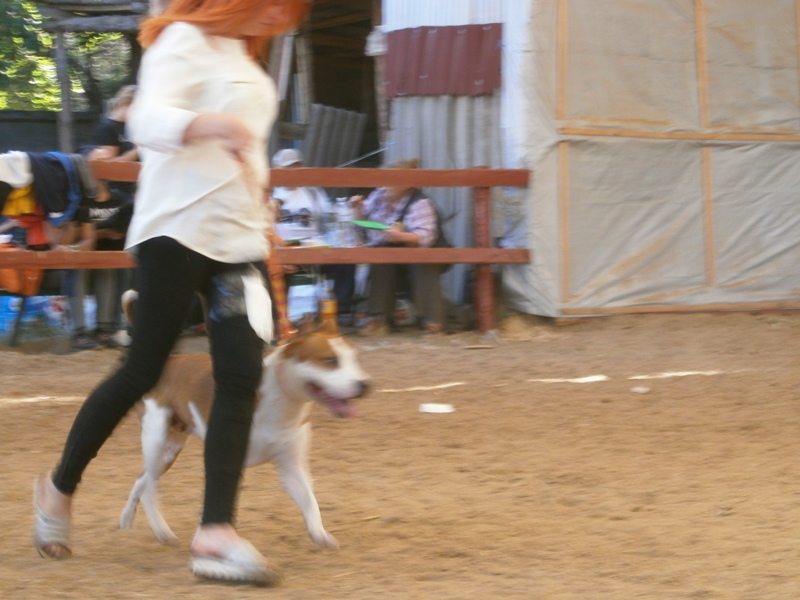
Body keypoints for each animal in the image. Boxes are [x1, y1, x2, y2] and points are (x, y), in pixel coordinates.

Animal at [118, 291, 369, 549]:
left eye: (354, 358)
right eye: (330, 360)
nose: (364, 385)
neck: (280, 399)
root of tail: (168, 363)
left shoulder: (292, 467)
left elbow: (310, 501)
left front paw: (320, 534)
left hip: (170, 448)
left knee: (142, 480)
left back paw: (130, 519)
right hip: (156, 438)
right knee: (148, 486)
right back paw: (160, 530)